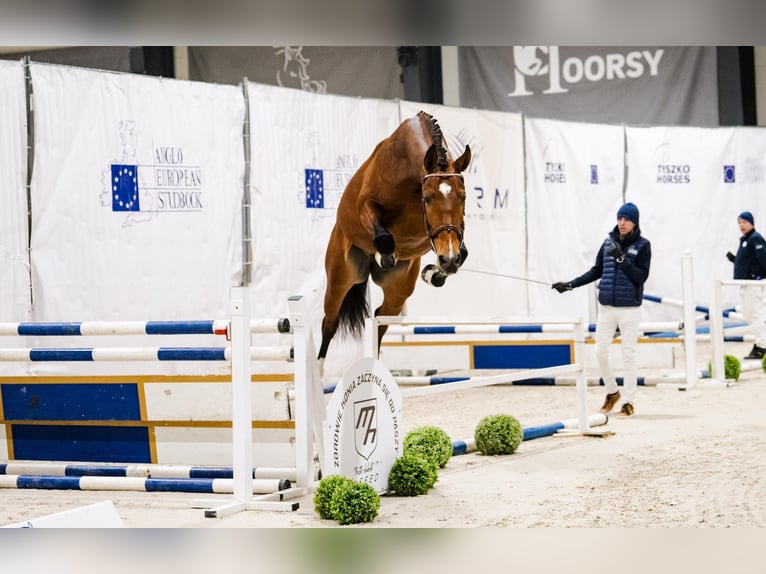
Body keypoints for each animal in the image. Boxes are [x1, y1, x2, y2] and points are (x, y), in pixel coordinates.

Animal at [318, 111, 472, 373]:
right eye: (428, 198)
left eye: (462, 197)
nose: (447, 260)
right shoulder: (366, 205)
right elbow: (383, 238)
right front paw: (387, 256)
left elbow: (463, 253)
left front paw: (435, 272)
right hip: (340, 277)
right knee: (330, 321)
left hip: (398, 292)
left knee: (380, 319)